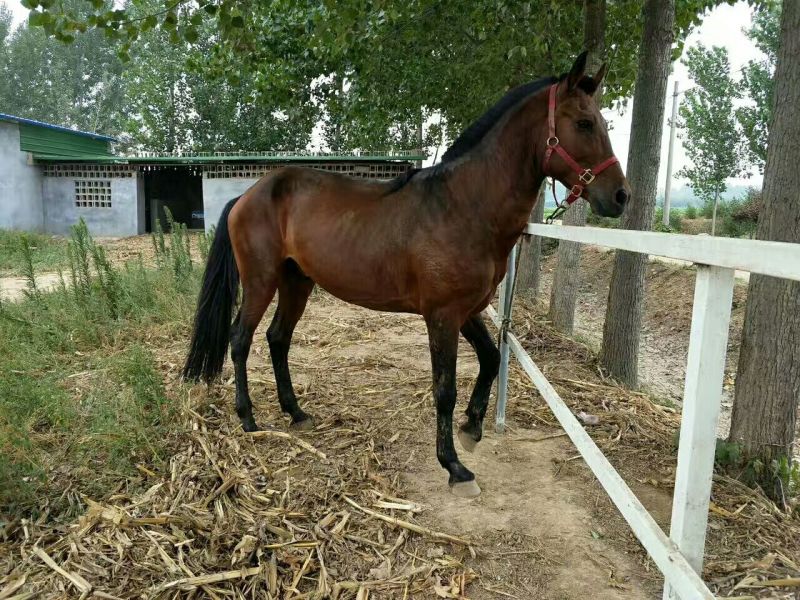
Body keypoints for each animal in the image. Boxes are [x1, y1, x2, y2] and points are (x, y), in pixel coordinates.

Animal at [184, 51, 630, 497]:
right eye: (584, 123)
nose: (620, 196)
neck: (463, 206)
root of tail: (248, 194)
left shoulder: (466, 310)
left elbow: (491, 358)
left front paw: (472, 427)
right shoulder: (442, 316)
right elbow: (444, 390)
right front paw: (454, 466)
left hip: (298, 281)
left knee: (278, 339)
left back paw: (296, 412)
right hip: (261, 281)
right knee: (240, 340)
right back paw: (248, 418)